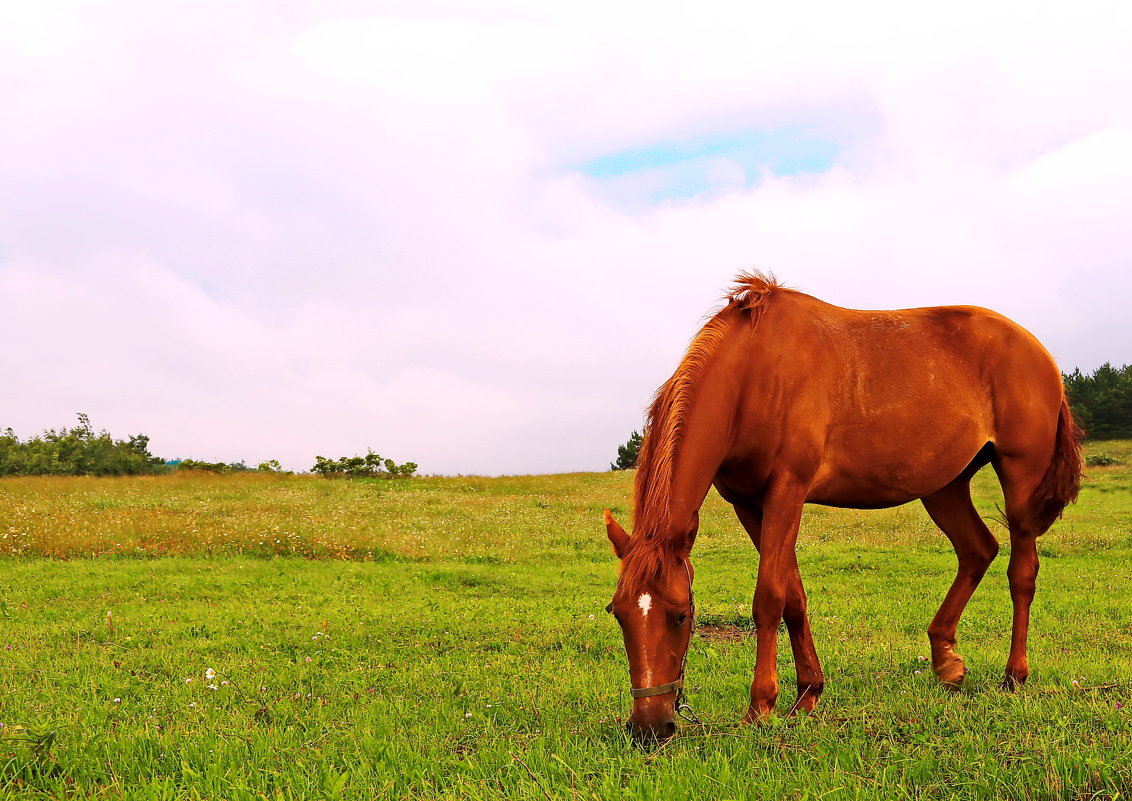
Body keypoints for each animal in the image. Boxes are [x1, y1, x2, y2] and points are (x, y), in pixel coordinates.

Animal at [606, 272, 1082, 742]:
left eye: (680, 616)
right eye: (619, 615)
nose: (649, 726)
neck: (754, 374)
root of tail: (1038, 351)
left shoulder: (787, 491)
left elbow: (769, 598)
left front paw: (760, 707)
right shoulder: (748, 504)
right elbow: (793, 597)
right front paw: (807, 694)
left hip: (1020, 480)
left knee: (1021, 572)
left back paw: (1014, 675)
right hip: (945, 487)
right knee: (978, 551)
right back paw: (947, 663)